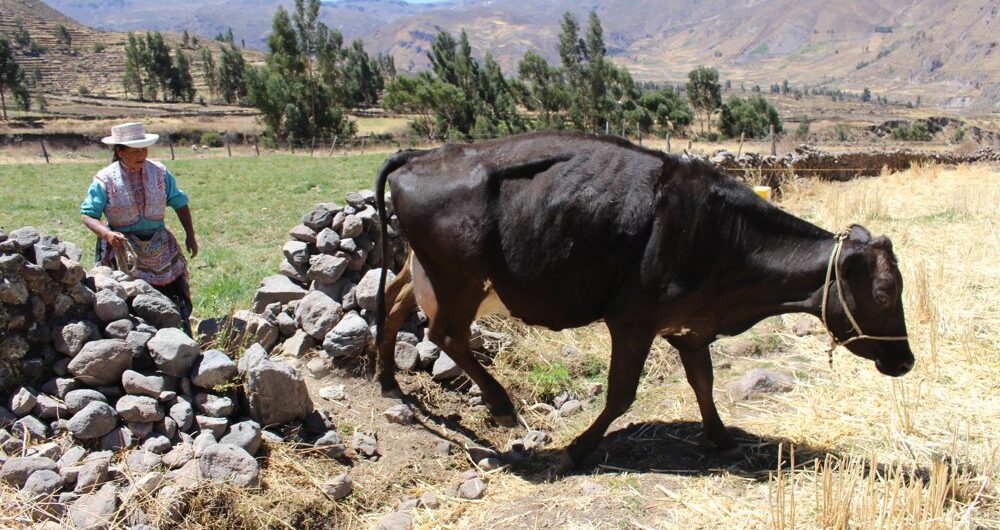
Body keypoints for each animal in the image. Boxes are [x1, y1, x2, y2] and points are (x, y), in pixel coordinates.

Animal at [370, 130, 916, 468]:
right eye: (885, 292)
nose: (907, 360)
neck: (724, 237)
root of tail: (423, 153)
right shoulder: (633, 321)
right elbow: (621, 395)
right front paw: (575, 451)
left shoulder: (690, 326)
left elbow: (703, 383)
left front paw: (722, 438)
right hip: (457, 280)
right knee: (445, 333)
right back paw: (501, 405)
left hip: (423, 269)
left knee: (393, 305)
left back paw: (388, 382)